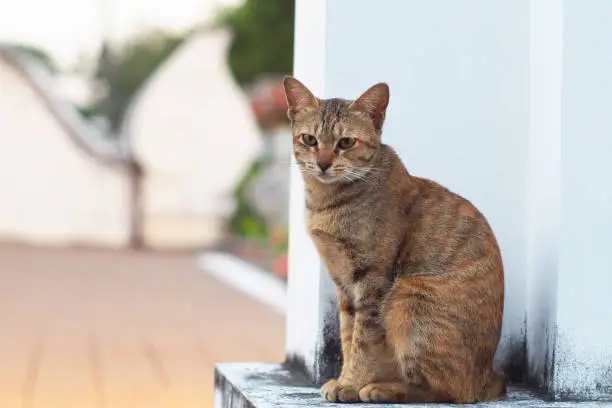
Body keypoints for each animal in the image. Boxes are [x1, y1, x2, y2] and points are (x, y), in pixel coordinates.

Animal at [284, 77, 504, 404]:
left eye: (346, 142)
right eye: (309, 139)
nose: (323, 163)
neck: (328, 202)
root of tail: (491, 378)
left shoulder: (371, 282)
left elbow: (363, 341)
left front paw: (350, 384)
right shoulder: (345, 288)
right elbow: (348, 337)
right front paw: (344, 379)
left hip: (408, 298)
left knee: (448, 390)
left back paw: (381, 388)